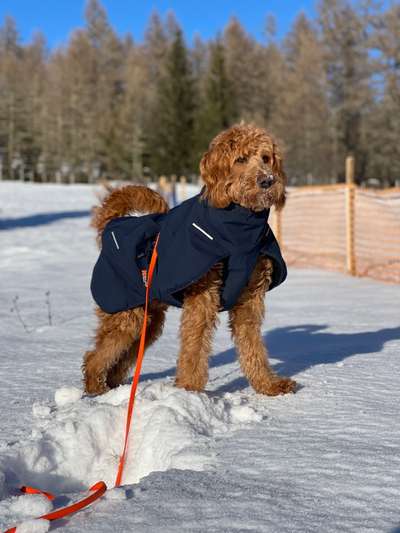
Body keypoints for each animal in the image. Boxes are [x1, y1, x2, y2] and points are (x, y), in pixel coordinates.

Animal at [83, 123, 296, 394]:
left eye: (266, 158)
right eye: (240, 159)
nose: (267, 180)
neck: (239, 231)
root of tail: (111, 225)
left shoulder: (250, 297)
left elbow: (253, 346)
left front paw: (268, 385)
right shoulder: (202, 296)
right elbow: (194, 347)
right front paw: (189, 390)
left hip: (149, 320)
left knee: (121, 358)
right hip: (125, 314)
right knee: (95, 355)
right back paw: (95, 388)